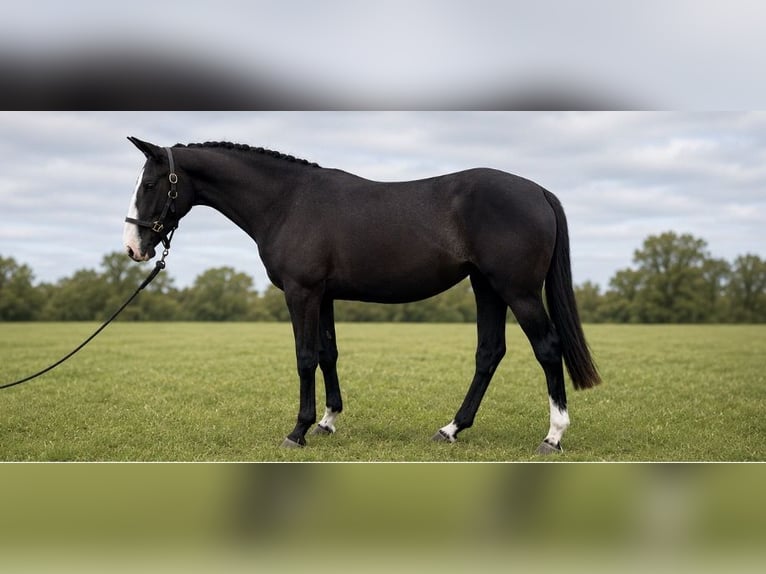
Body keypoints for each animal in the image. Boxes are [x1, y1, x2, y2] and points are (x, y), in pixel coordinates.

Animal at [123, 137, 601, 454]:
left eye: (150, 184)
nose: (133, 248)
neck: (287, 202)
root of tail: (537, 190)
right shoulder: (324, 296)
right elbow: (328, 354)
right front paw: (327, 422)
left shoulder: (301, 293)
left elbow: (305, 357)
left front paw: (297, 431)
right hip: (486, 287)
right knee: (489, 353)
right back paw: (451, 428)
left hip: (516, 290)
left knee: (547, 347)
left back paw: (553, 435)